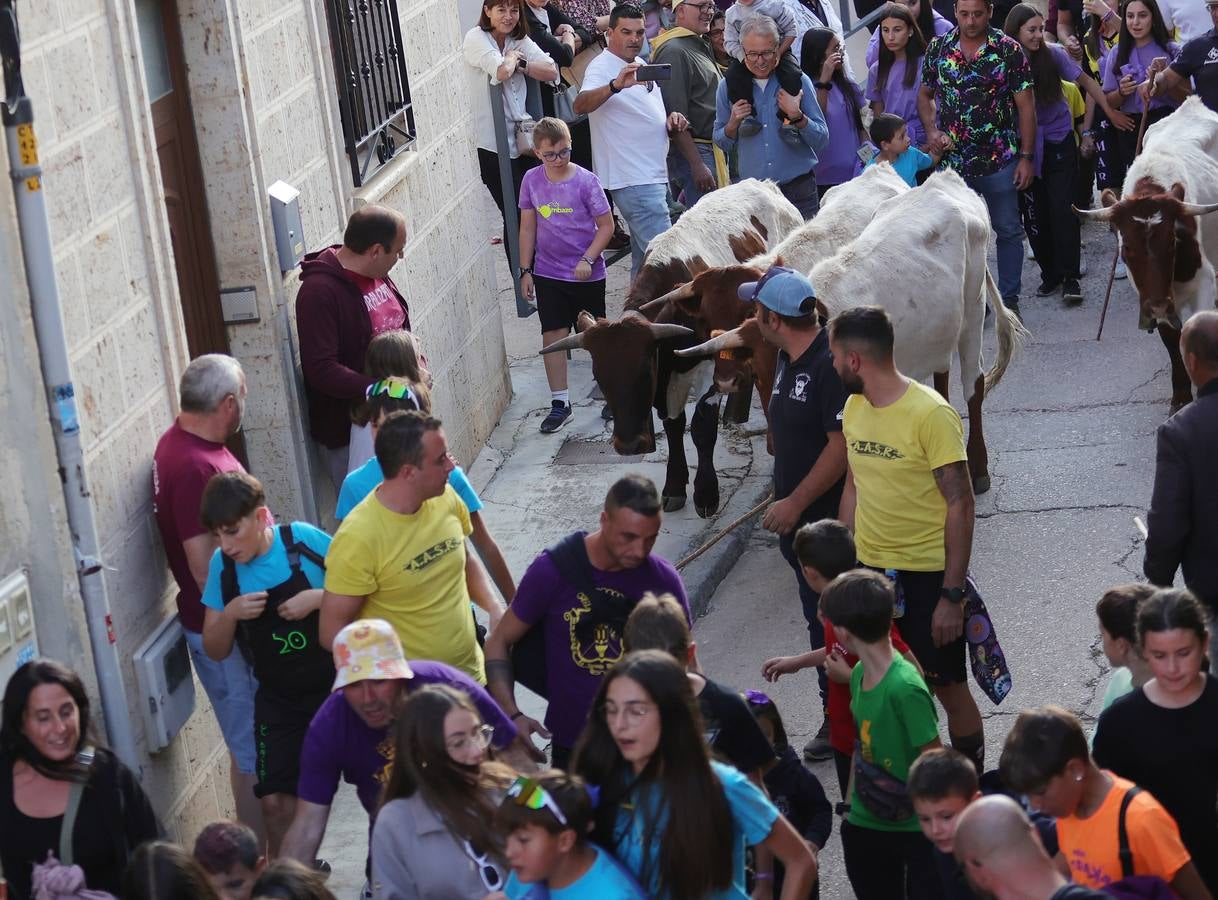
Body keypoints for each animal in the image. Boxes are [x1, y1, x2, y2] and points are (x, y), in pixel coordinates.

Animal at [540, 179, 803, 516]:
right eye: (599, 377)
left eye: (643, 371)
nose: (629, 446)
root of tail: (765, 184)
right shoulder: (667, 384)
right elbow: (674, 427)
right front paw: (675, 486)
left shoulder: (708, 370)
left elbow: (702, 428)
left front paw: (705, 493)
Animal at [677, 166, 1027, 492]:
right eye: (762, 375)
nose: (724, 379)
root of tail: (944, 179)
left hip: (973, 309)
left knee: (973, 384)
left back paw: (978, 468)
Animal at [1076, 96, 1218, 411]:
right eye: (1126, 248)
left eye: (1172, 242)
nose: (1157, 307)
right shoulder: (1153, 296)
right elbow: (1171, 338)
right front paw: (1180, 395)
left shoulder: (1203, 279)